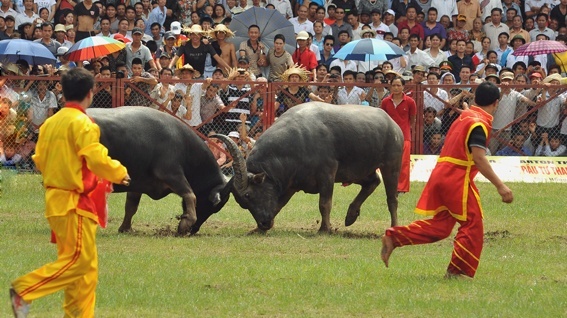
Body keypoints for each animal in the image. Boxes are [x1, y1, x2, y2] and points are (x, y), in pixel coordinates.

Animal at [87, 108, 233, 235]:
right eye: (213, 206)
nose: (194, 229)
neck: (184, 145)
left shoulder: (136, 183)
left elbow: (131, 206)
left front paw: (125, 228)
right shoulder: (170, 173)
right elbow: (190, 195)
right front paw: (185, 224)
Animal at [220, 103, 406, 232]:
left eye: (248, 194)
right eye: (242, 202)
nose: (264, 223)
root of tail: (393, 124)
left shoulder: (328, 173)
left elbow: (324, 203)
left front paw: (325, 229)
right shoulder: (290, 184)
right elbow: (278, 205)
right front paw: (257, 229)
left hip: (391, 165)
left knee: (392, 199)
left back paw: (393, 226)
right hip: (357, 172)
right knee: (372, 182)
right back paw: (351, 215)